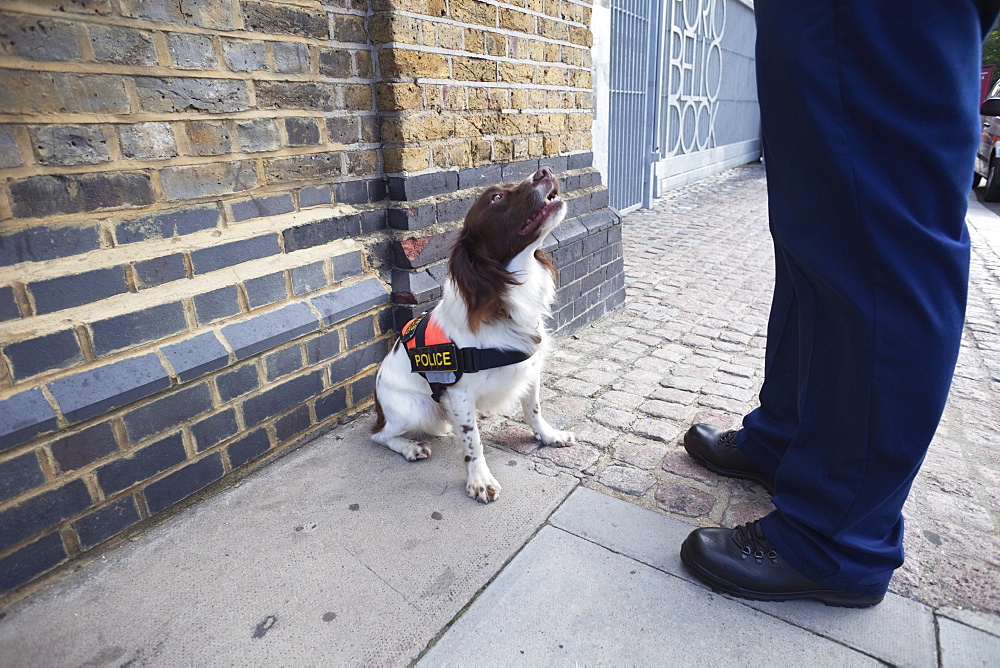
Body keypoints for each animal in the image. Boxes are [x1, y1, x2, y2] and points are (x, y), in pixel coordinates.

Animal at [370, 167, 576, 500]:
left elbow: (533, 409)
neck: (507, 298)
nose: (544, 171)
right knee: (379, 435)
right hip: (416, 409)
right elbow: (472, 441)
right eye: (496, 197)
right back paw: (410, 447)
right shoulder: (459, 393)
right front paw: (479, 480)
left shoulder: (529, 369)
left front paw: (548, 436)